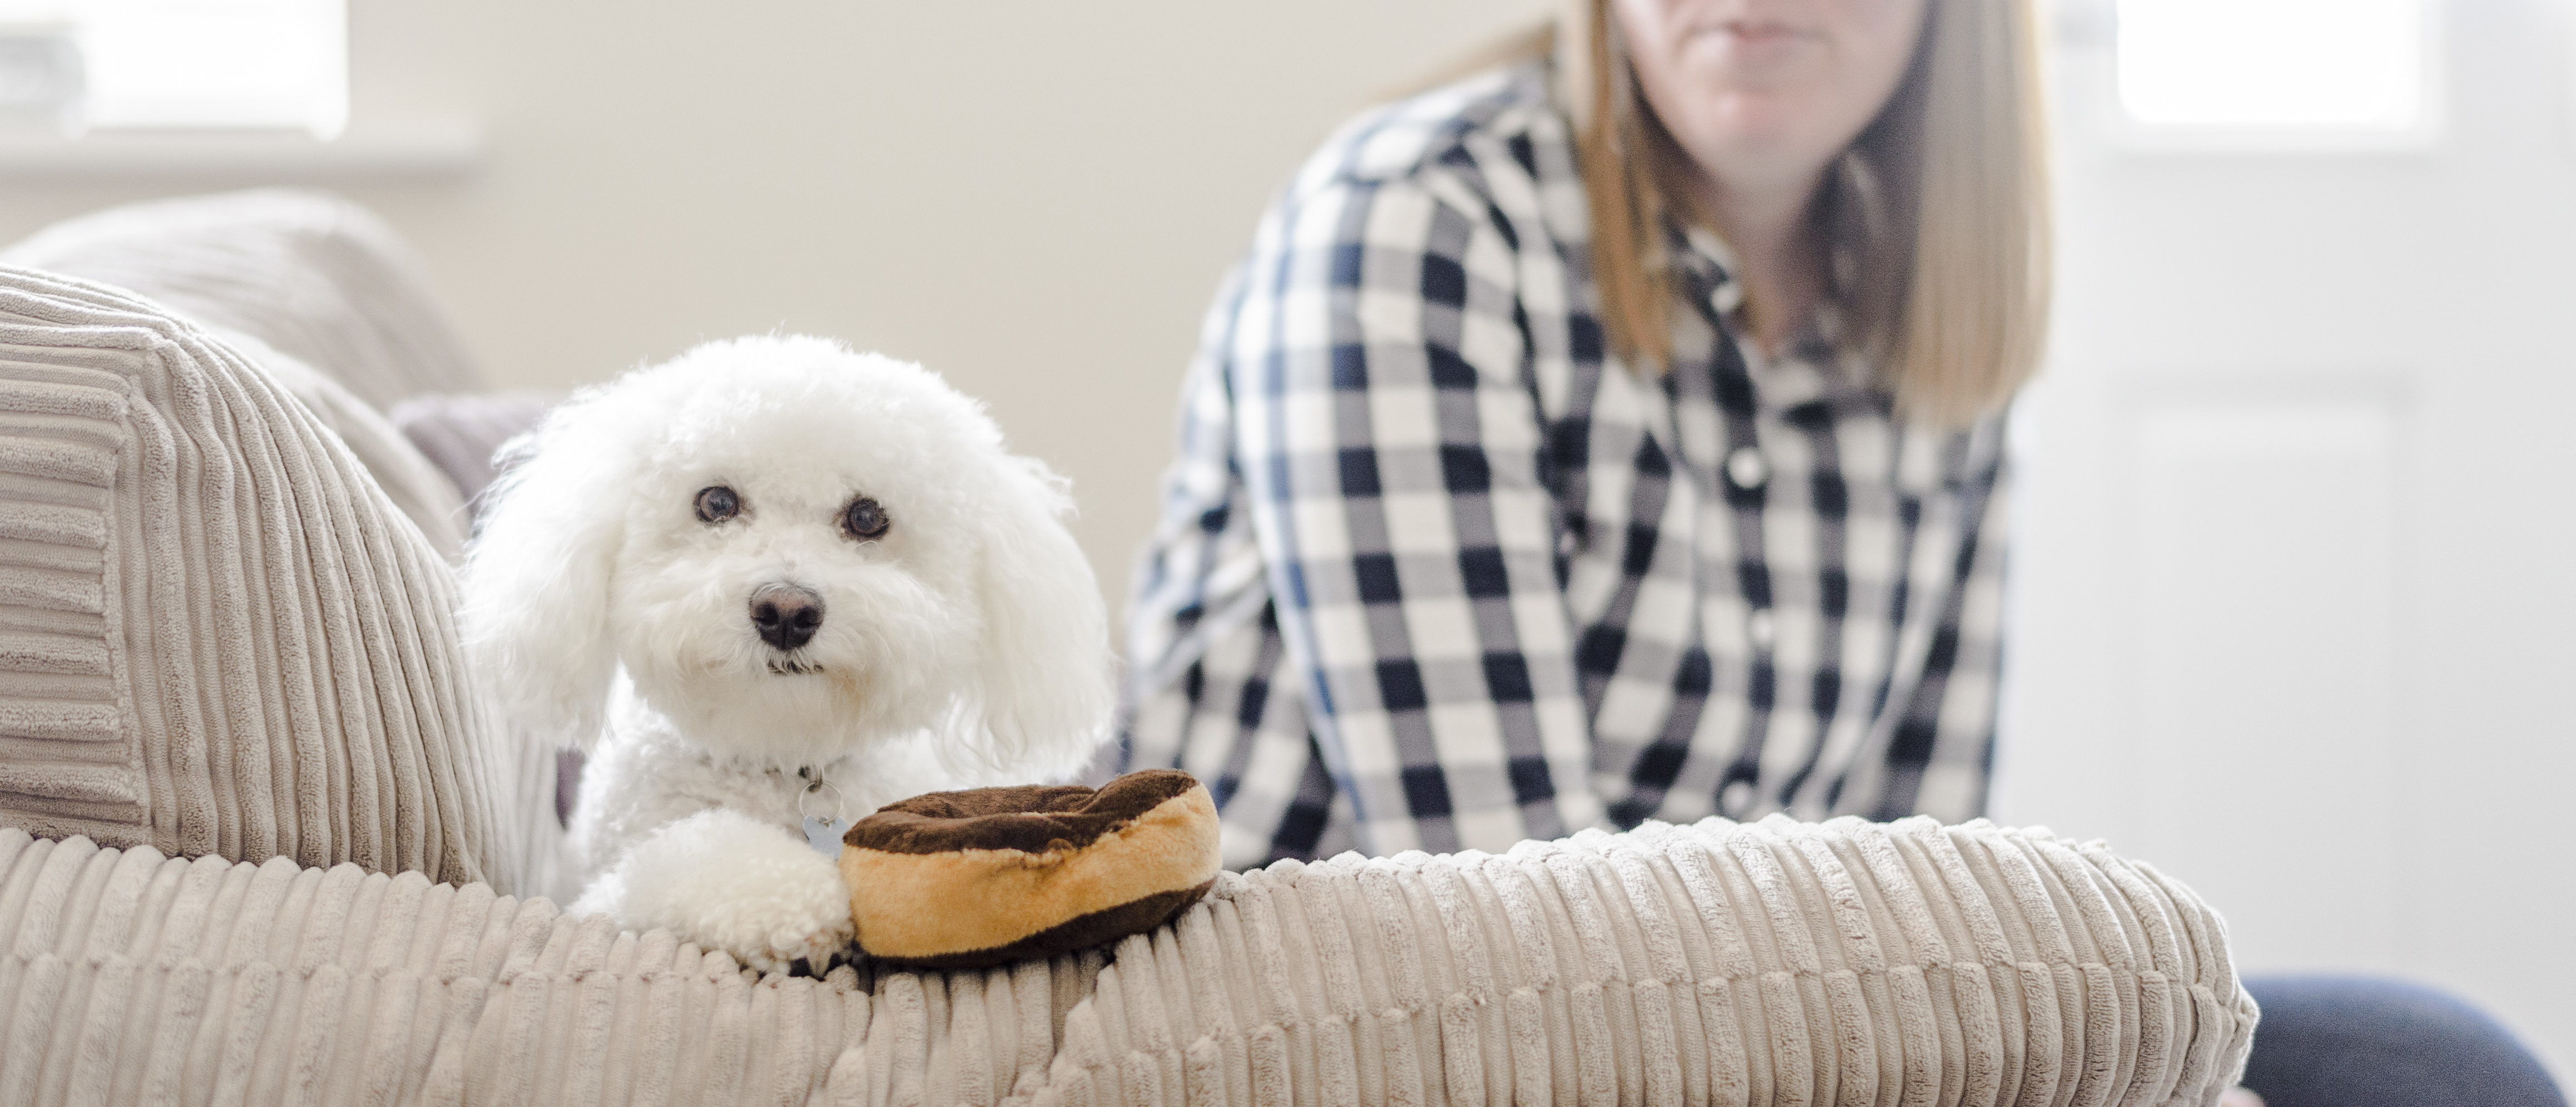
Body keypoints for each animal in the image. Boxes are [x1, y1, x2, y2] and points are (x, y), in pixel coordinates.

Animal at [458, 334, 1113, 968]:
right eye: (716, 503)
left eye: (867, 517)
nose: (787, 612)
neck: (784, 757)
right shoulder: (589, 896)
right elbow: (690, 854)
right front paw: (795, 902)